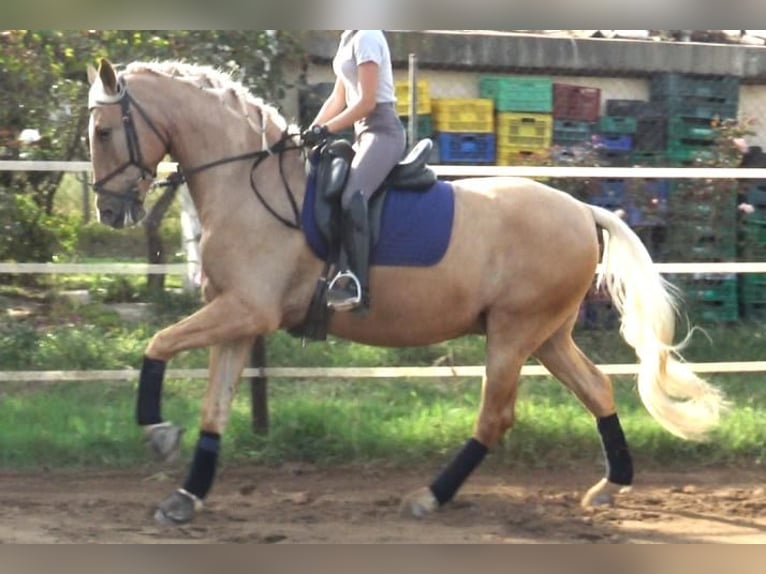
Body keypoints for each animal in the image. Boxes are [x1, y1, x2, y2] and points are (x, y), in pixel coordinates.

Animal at [87, 59, 728, 528]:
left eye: (101, 130)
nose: (109, 211)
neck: (250, 183)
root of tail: (582, 209)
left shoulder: (245, 310)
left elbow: (157, 343)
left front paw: (157, 434)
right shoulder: (239, 318)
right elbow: (212, 405)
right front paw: (185, 494)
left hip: (514, 333)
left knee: (495, 416)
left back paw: (429, 496)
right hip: (546, 335)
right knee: (596, 389)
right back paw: (610, 485)